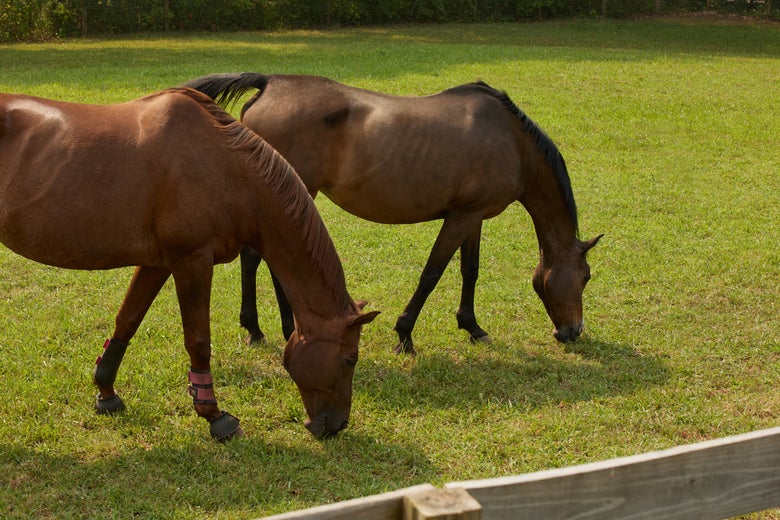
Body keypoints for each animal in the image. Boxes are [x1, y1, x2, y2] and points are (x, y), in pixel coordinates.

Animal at [0, 87, 378, 440]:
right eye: (350, 358)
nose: (336, 424)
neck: (228, 170)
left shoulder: (158, 264)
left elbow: (127, 321)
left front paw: (106, 392)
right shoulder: (192, 261)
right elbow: (198, 340)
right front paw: (214, 415)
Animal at [184, 73, 602, 355]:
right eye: (585, 276)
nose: (572, 331)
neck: (511, 141)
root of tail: (269, 83)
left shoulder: (473, 216)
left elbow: (470, 270)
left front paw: (472, 326)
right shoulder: (460, 218)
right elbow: (432, 274)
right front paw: (405, 334)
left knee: (256, 259)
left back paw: (262, 328)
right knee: (262, 258)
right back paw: (271, 328)